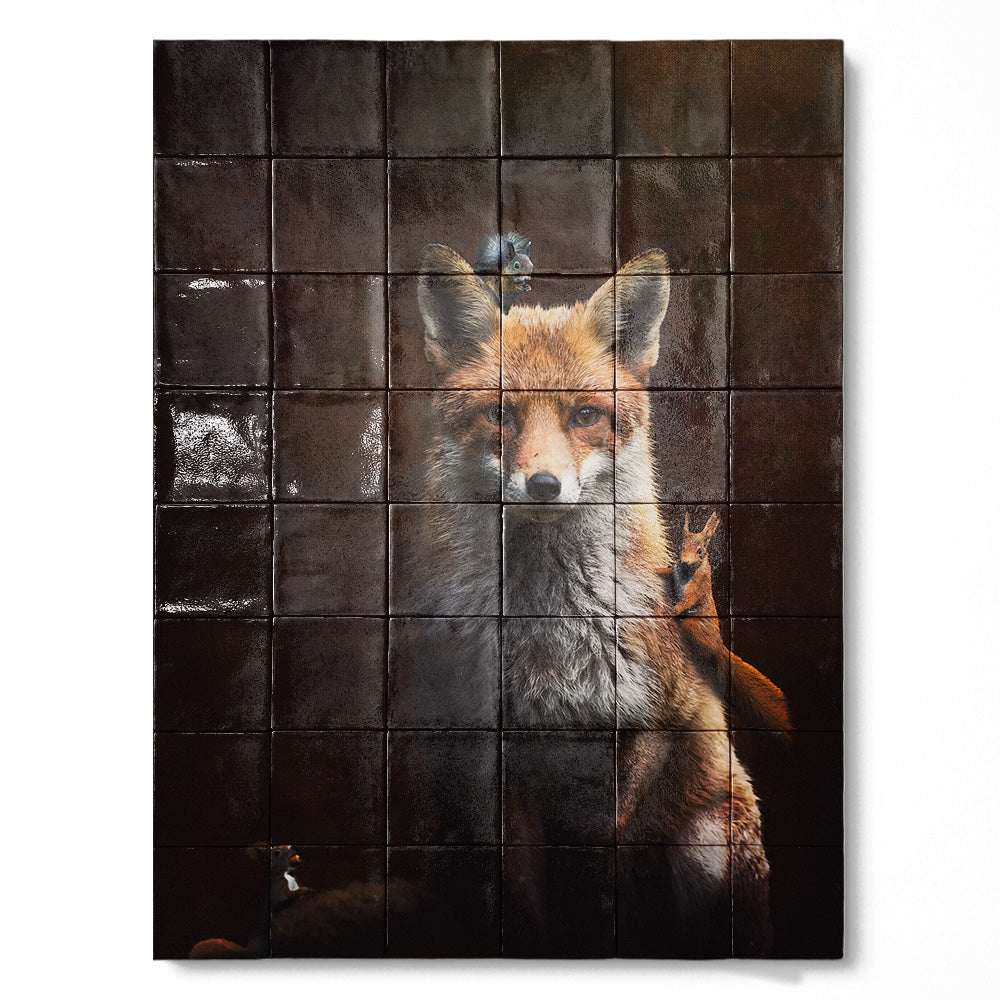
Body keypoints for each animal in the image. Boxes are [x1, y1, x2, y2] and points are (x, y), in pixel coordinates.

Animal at [410, 243, 772, 957]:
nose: (544, 485)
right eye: (500, 414)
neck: (553, 635)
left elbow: (610, 865)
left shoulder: (657, 721)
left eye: (584, 415)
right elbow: (521, 897)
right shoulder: (495, 762)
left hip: (706, 841)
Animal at [658, 511, 792, 735]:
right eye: (679, 547)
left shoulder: (698, 586)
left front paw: (672, 611)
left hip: (694, 626)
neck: (687, 572)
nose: (684, 561)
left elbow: (687, 601)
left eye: (700, 551)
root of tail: (719, 647)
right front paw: (656, 569)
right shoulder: (675, 572)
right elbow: (667, 572)